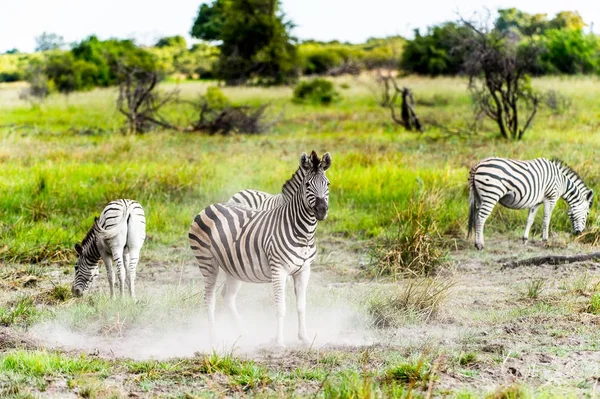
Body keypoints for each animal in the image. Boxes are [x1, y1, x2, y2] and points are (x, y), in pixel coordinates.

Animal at [189, 152, 332, 348]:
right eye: (307, 185)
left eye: (328, 184)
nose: (321, 210)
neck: (304, 233)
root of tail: (210, 206)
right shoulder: (279, 270)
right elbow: (280, 307)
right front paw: (279, 341)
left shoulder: (304, 270)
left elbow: (301, 307)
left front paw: (305, 338)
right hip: (207, 261)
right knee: (209, 299)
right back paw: (214, 338)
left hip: (233, 265)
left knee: (227, 296)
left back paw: (243, 333)